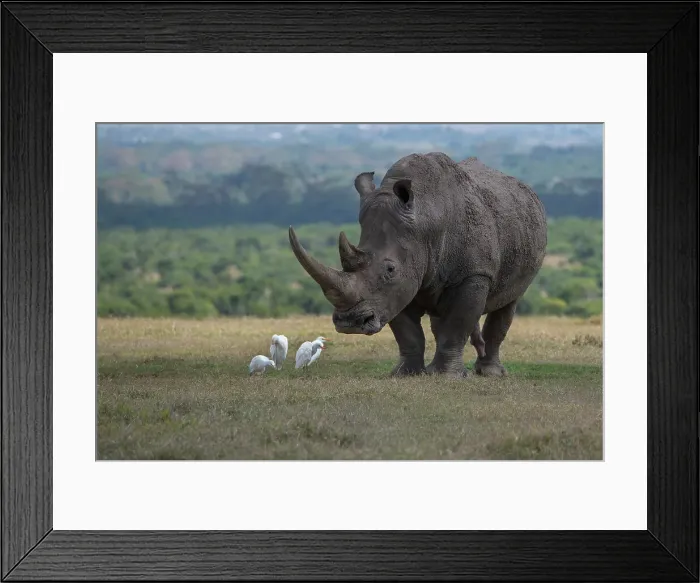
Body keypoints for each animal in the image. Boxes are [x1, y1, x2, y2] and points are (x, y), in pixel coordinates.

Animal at [289, 152, 547, 378]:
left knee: (508, 302)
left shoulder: (473, 274)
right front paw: (405, 374)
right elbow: (408, 333)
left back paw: (491, 374)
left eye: (390, 269)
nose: (349, 323)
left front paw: (447, 377)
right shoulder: (399, 286)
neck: (425, 221)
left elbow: (457, 324)